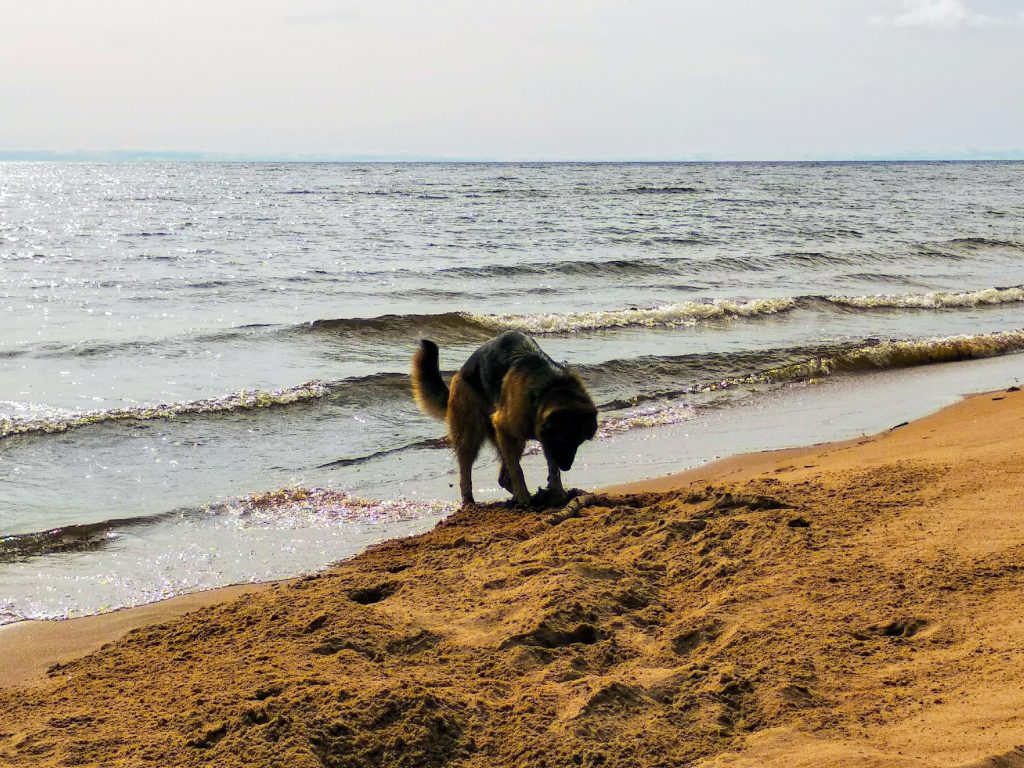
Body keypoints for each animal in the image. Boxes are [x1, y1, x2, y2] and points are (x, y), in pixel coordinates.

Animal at [409, 327, 598, 507]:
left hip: (511, 440)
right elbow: (517, 470)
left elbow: (552, 468)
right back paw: (472, 500)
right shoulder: (510, 428)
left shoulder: (545, 438)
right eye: (563, 439)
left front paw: (557, 492)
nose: (566, 467)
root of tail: (460, 374)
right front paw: (524, 497)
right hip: (472, 434)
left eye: (578, 442)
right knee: (468, 471)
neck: (550, 388)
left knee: (503, 477)